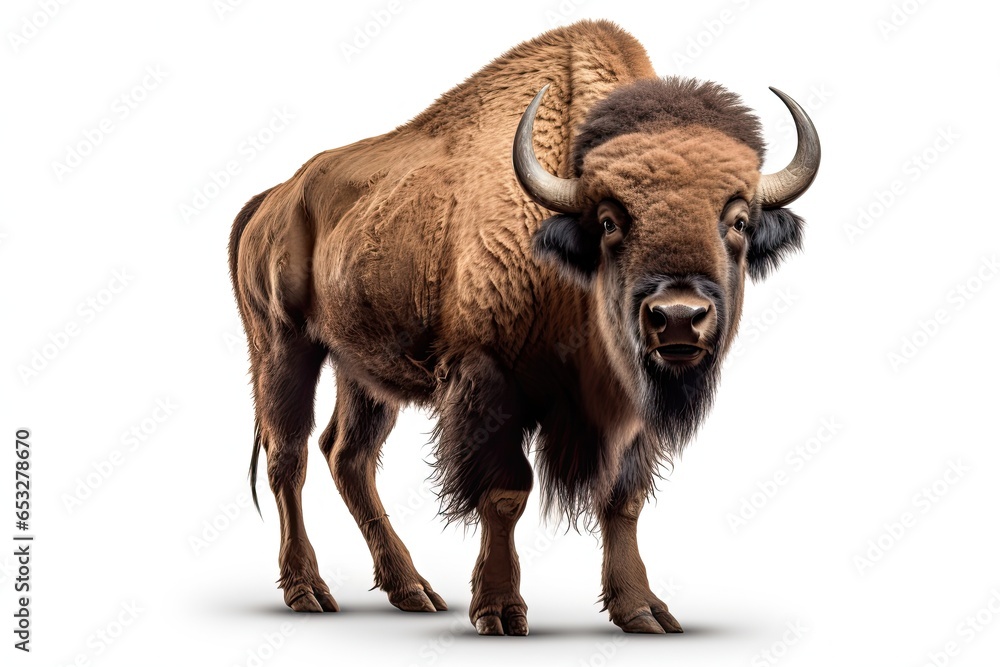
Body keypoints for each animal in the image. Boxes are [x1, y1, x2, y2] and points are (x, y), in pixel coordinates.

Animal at [229, 19, 819, 635]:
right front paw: (499, 611)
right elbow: (506, 493)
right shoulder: (488, 383)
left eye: (739, 221)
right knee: (288, 456)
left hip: (361, 367)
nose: (678, 317)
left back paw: (411, 589)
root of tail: (271, 200)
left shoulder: (630, 408)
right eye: (607, 221)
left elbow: (623, 499)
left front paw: (643, 610)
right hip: (282, 345)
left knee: (348, 454)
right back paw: (309, 590)